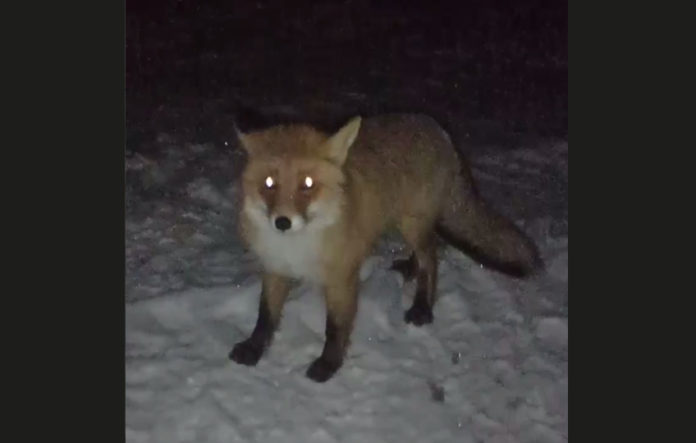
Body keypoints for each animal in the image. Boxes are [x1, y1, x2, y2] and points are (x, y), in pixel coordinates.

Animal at [229, 113, 542, 382]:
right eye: (269, 183)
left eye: (307, 184)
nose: (282, 222)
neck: (296, 247)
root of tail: (436, 127)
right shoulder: (275, 269)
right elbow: (265, 317)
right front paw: (253, 348)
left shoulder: (341, 278)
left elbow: (335, 328)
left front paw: (329, 364)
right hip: (407, 225)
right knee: (427, 251)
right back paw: (410, 269)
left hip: (412, 224)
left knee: (431, 257)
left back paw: (422, 307)